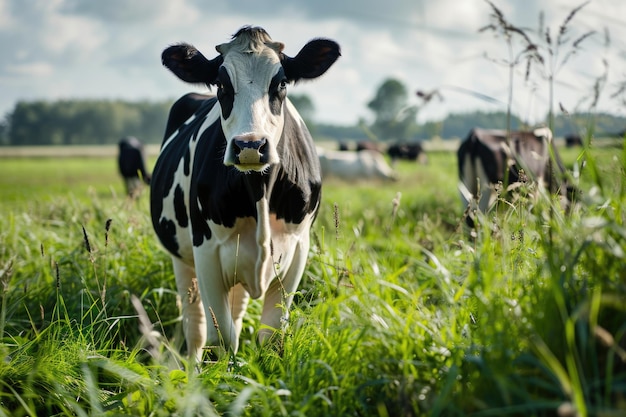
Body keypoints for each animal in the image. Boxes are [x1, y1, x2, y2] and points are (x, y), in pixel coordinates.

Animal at [149, 26, 338, 360]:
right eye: (221, 84)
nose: (250, 145)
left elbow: (271, 338)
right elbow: (220, 341)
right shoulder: (206, 252)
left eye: (281, 82)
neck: (259, 193)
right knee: (195, 329)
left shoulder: (297, 250)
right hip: (182, 257)